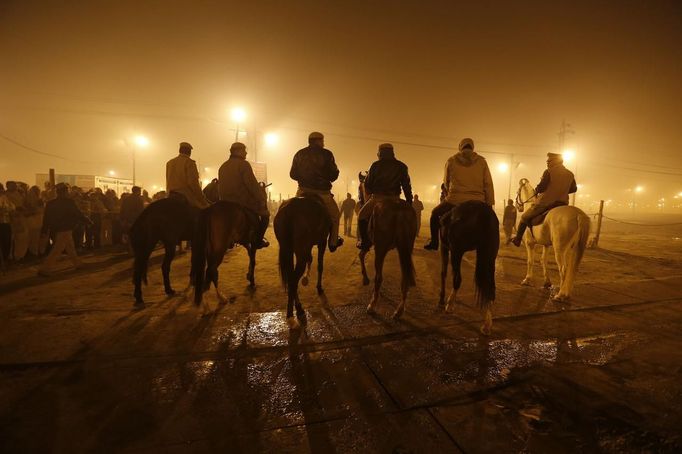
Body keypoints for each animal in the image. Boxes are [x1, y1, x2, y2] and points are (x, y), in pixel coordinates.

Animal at [274, 196, 330, 330]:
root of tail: (289, 209)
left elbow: (311, 259)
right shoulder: (322, 242)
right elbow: (320, 265)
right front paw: (319, 287)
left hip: (287, 248)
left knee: (291, 278)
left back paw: (295, 310)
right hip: (301, 248)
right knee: (294, 279)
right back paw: (294, 312)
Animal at [438, 200, 496, 336]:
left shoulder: (444, 247)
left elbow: (443, 272)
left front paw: (442, 298)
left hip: (456, 251)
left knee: (457, 279)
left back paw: (450, 305)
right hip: (490, 255)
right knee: (490, 286)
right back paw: (487, 325)